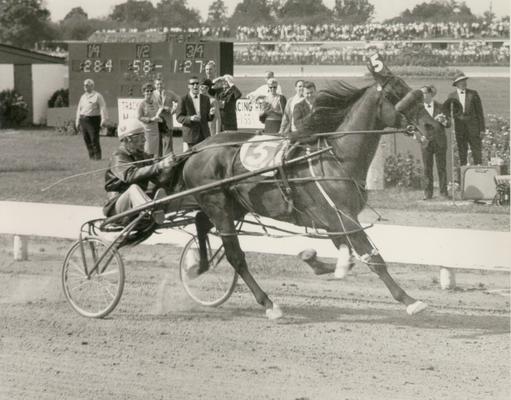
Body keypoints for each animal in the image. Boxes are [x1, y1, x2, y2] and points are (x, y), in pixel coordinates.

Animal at [176, 58, 440, 318]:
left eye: (411, 90)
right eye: (395, 95)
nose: (432, 126)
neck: (336, 156)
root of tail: (197, 149)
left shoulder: (336, 222)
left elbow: (348, 256)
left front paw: (315, 260)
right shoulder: (342, 219)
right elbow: (372, 259)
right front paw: (410, 301)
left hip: (235, 205)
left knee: (201, 222)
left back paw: (198, 265)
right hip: (218, 205)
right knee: (235, 255)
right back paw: (268, 303)